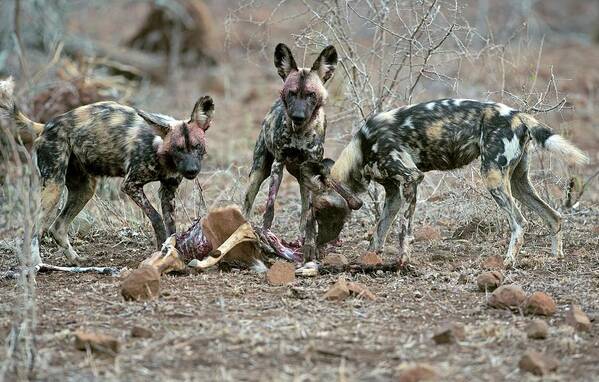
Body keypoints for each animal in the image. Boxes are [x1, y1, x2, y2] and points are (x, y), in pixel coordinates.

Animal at [0, 76, 216, 264]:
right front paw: (161, 247)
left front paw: (171, 251)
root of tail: (44, 126)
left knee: (58, 227)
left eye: (197, 146)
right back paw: (37, 264)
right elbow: (156, 217)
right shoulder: (130, 185)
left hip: (84, 189)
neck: (160, 150)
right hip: (54, 187)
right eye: (178, 149)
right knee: (34, 228)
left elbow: (171, 226)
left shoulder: (168, 190)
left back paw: (76, 260)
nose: (192, 170)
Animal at [241, 44, 340, 260]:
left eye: (311, 94)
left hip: (303, 178)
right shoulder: (277, 165)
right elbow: (269, 208)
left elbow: (310, 215)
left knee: (304, 208)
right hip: (258, 173)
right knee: (246, 206)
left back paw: (301, 238)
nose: (298, 116)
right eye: (291, 93)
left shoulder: (313, 171)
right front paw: (266, 237)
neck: (300, 133)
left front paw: (310, 246)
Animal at [304, 98, 592, 266]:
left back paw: (507, 262)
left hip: (493, 178)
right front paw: (370, 260)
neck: (363, 147)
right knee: (554, 216)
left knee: (520, 223)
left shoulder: (411, 178)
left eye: (318, 213)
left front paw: (403, 262)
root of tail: (518, 115)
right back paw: (556, 256)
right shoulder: (394, 194)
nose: (317, 245)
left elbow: (404, 231)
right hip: (519, 183)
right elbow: (379, 231)